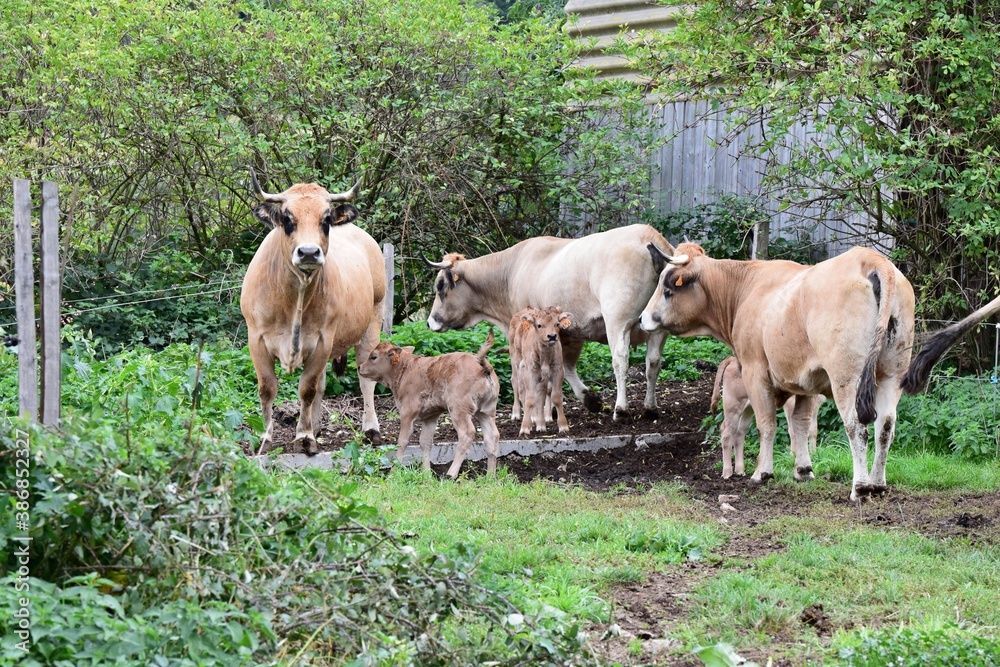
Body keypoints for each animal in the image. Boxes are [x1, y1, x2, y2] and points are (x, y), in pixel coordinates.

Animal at [240, 168, 386, 455]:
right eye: (287, 219)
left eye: (326, 219)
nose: (308, 252)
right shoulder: (256, 340)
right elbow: (268, 389)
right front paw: (265, 438)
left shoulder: (322, 340)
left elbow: (306, 389)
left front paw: (304, 437)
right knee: (322, 385)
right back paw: (317, 426)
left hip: (373, 319)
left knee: (365, 379)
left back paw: (370, 429)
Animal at [357, 330, 501, 478]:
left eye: (373, 357)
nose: (359, 367)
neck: (406, 369)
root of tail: (484, 367)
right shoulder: (430, 416)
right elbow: (425, 442)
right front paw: (426, 474)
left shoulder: (407, 413)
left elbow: (402, 441)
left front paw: (393, 472)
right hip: (486, 412)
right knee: (492, 437)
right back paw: (490, 476)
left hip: (459, 409)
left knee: (467, 433)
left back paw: (451, 474)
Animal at [423, 224, 675, 421]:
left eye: (439, 286)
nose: (429, 321)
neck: (511, 271)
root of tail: (648, 234)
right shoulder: (569, 333)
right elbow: (564, 366)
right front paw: (583, 400)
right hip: (656, 325)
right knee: (653, 361)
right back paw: (650, 408)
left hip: (617, 320)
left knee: (620, 359)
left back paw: (621, 409)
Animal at [509, 306, 573, 435]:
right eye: (539, 325)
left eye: (557, 324)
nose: (552, 336)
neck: (545, 357)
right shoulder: (530, 372)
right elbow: (530, 399)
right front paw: (525, 428)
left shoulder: (558, 371)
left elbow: (556, 397)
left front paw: (563, 426)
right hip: (516, 362)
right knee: (518, 386)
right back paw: (517, 414)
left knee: (541, 394)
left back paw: (540, 424)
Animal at [640, 242, 915, 502]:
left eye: (667, 289)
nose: (642, 318)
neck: (746, 288)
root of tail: (870, 258)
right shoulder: (808, 381)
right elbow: (800, 424)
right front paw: (803, 470)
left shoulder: (755, 371)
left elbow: (767, 424)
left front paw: (762, 471)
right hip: (892, 374)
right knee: (885, 426)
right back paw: (878, 484)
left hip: (847, 377)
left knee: (856, 426)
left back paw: (860, 488)